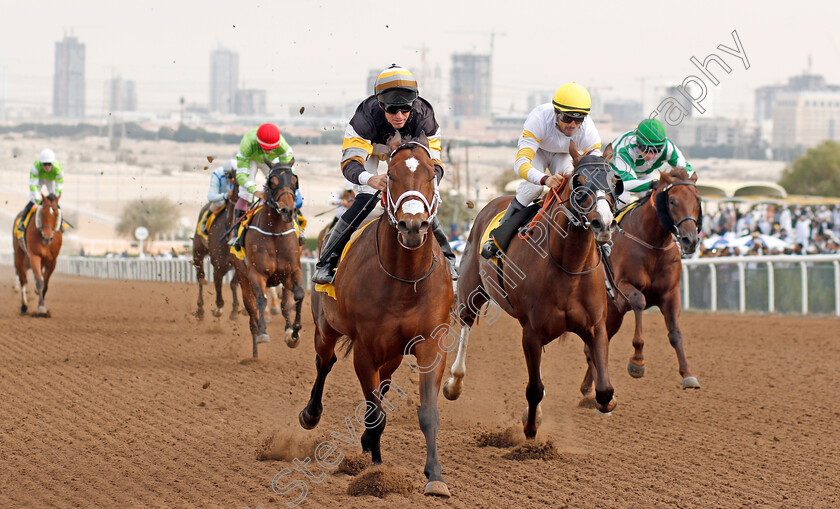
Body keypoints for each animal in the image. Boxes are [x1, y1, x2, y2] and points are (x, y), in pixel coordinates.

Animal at [193, 183, 240, 320]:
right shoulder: (218, 266)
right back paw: (200, 309)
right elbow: (218, 287)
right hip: (198, 252)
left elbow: (233, 284)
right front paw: (218, 309)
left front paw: (235, 310)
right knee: (201, 277)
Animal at [231, 163, 304, 358]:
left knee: (285, 304)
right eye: (272, 181)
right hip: (244, 279)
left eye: (294, 179)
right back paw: (255, 351)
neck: (275, 233)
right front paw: (263, 333)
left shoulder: (293, 272)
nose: (288, 210)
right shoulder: (257, 275)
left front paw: (293, 333)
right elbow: (261, 301)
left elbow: (297, 297)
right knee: (252, 313)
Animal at [300, 133, 456, 498]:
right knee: (324, 363)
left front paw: (435, 476)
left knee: (381, 386)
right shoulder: (365, 348)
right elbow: (375, 415)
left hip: (392, 354)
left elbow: (427, 412)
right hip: (325, 328)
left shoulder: (430, 344)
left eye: (431, 175)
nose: (413, 225)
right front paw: (374, 468)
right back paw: (311, 415)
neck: (406, 280)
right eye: (392, 177)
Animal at [446, 155, 624, 436]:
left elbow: (605, 391)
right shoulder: (531, 332)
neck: (569, 266)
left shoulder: (596, 326)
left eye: (616, 183)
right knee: (466, 323)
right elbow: (534, 389)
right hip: (470, 288)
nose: (603, 223)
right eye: (579, 182)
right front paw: (530, 427)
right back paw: (455, 383)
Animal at [576, 169, 704, 390]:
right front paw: (637, 362)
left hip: (612, 316)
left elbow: (675, 333)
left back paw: (588, 389)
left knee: (597, 345)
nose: (691, 240)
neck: (652, 244)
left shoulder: (670, 294)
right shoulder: (621, 289)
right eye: (672, 201)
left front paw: (688, 375)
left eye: (697, 199)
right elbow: (639, 301)